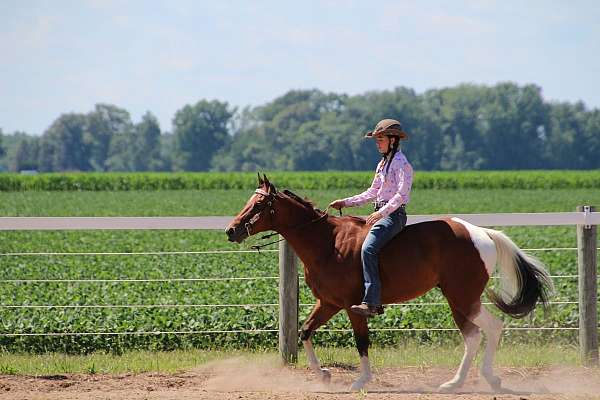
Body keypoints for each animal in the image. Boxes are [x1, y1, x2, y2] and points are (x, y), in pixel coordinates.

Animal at [224, 174, 552, 390]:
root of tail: (480, 233)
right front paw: (324, 374)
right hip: (459, 300)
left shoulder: (352, 306)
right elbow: (305, 331)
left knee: (486, 330)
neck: (328, 243)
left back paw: (478, 380)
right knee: (479, 333)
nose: (231, 230)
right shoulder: (328, 303)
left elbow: (361, 342)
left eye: (258, 205)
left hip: (463, 298)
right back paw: (465, 381)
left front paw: (360, 381)